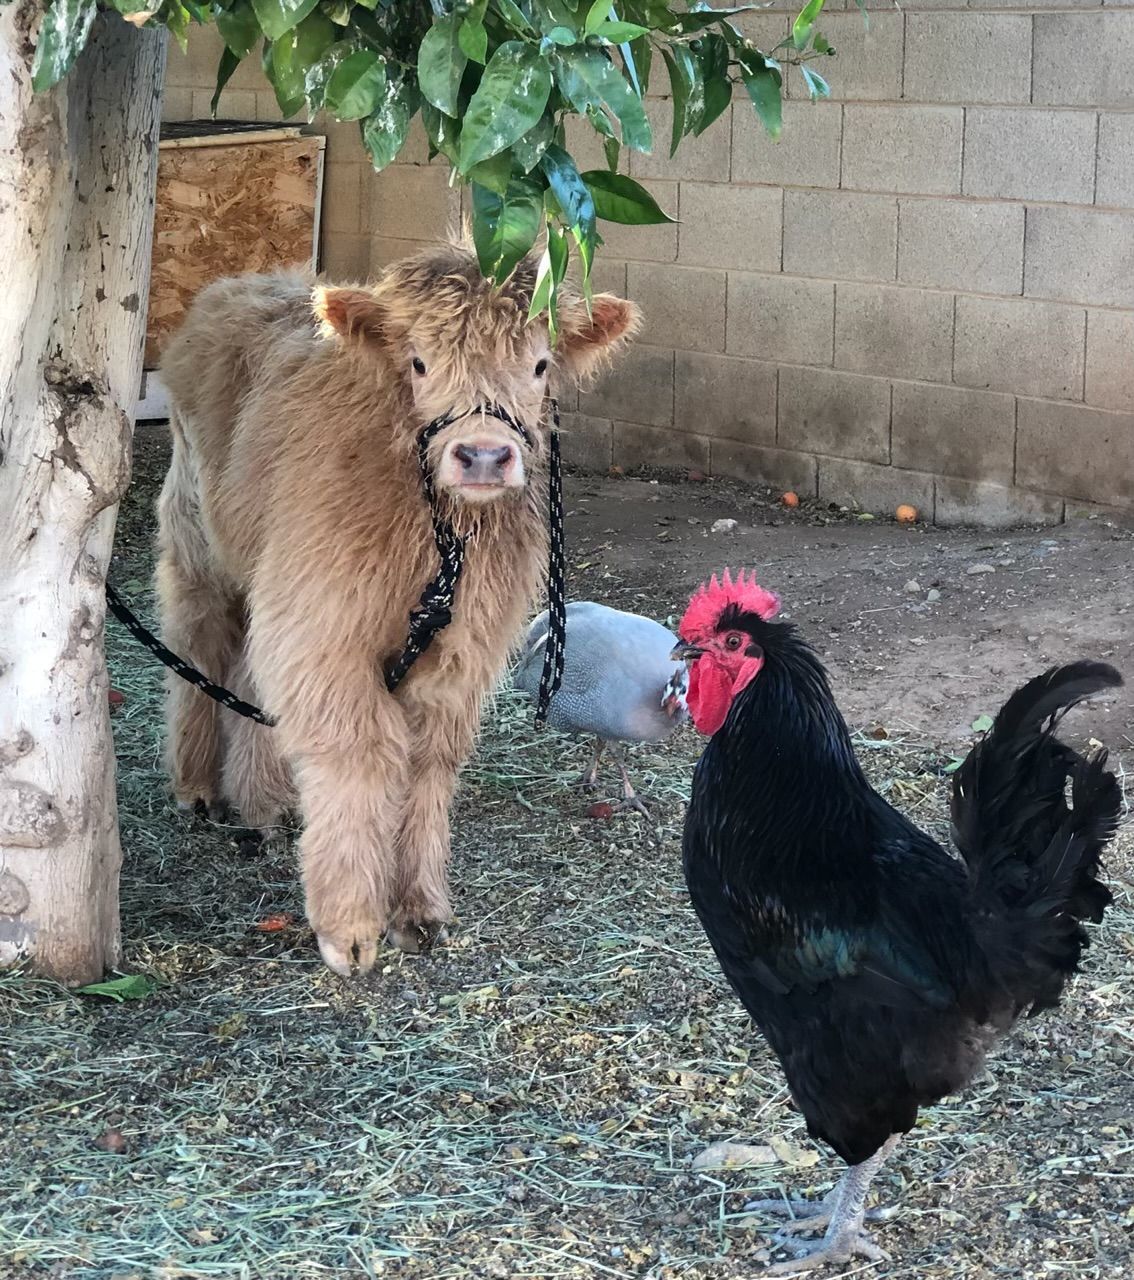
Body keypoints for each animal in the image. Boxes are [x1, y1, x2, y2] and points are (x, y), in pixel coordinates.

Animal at [155, 242, 639, 975]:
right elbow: (359, 751)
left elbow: (426, 761)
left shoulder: (454, 655)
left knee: (248, 678)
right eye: (419, 363)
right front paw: (349, 928)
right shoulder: (324, 628)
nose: (483, 456)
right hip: (199, 546)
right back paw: (198, 788)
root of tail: (238, 285)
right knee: (199, 646)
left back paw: (263, 800)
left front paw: (419, 910)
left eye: (539, 365)